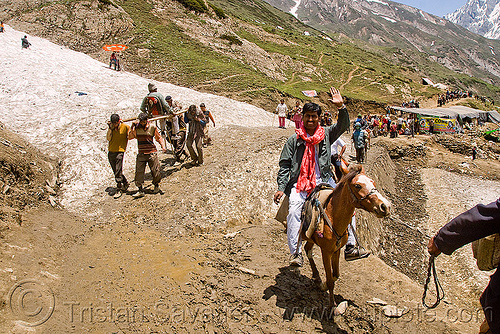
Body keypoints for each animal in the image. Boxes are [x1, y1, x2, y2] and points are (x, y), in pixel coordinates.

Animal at [300, 164, 390, 308]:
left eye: (373, 182)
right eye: (358, 186)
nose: (385, 206)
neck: (333, 217)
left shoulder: (336, 250)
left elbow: (335, 275)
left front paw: (323, 285)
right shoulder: (326, 252)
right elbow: (331, 280)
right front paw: (332, 306)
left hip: (312, 239)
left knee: (308, 249)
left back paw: (317, 277)